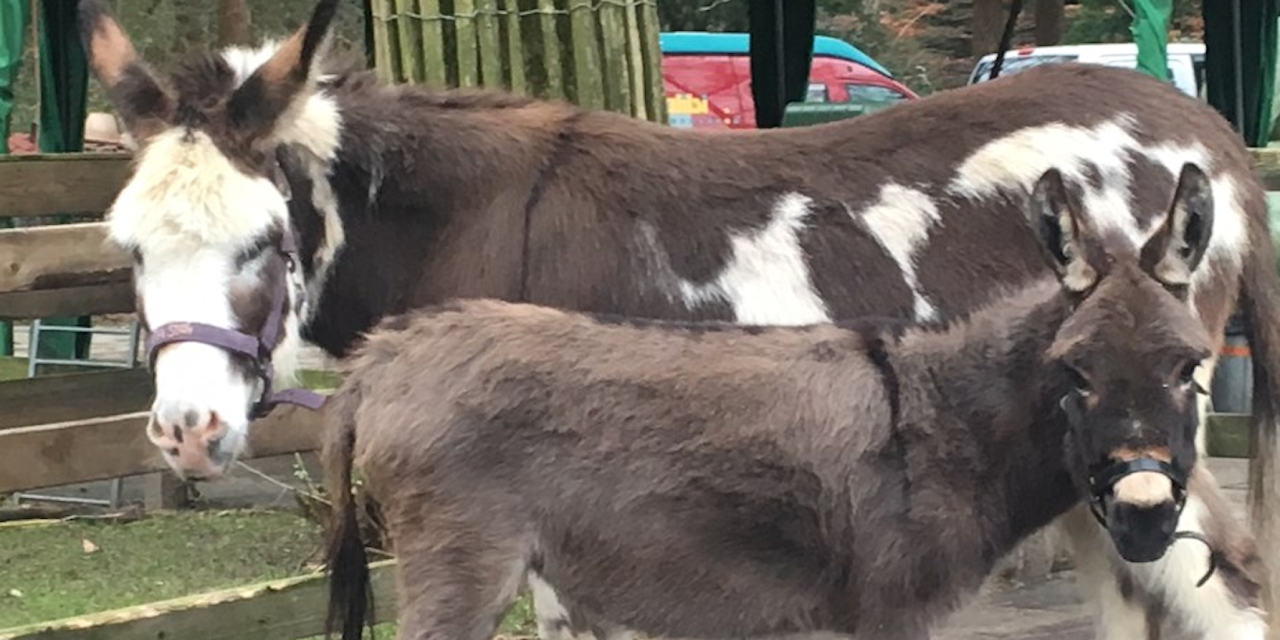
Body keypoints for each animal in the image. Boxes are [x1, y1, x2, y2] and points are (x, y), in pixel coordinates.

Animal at [322, 162, 1259, 637]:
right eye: (1076, 373)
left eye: (1189, 368)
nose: (1145, 513)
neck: (944, 419)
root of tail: (383, 355)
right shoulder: (888, 614)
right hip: (461, 563)